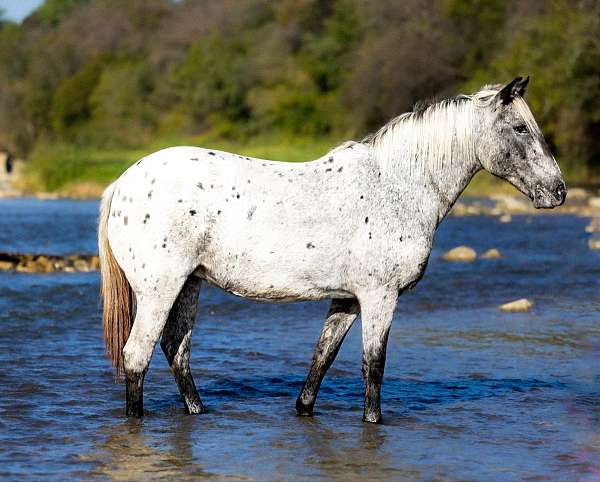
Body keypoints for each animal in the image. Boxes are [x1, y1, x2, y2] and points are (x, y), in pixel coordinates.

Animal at [99, 76, 568, 422]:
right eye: (520, 128)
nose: (558, 191)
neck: (396, 186)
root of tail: (122, 183)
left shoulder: (347, 298)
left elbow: (323, 358)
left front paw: (304, 409)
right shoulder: (380, 297)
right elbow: (373, 365)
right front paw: (373, 422)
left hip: (189, 285)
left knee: (175, 350)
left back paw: (198, 411)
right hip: (160, 289)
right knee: (137, 356)